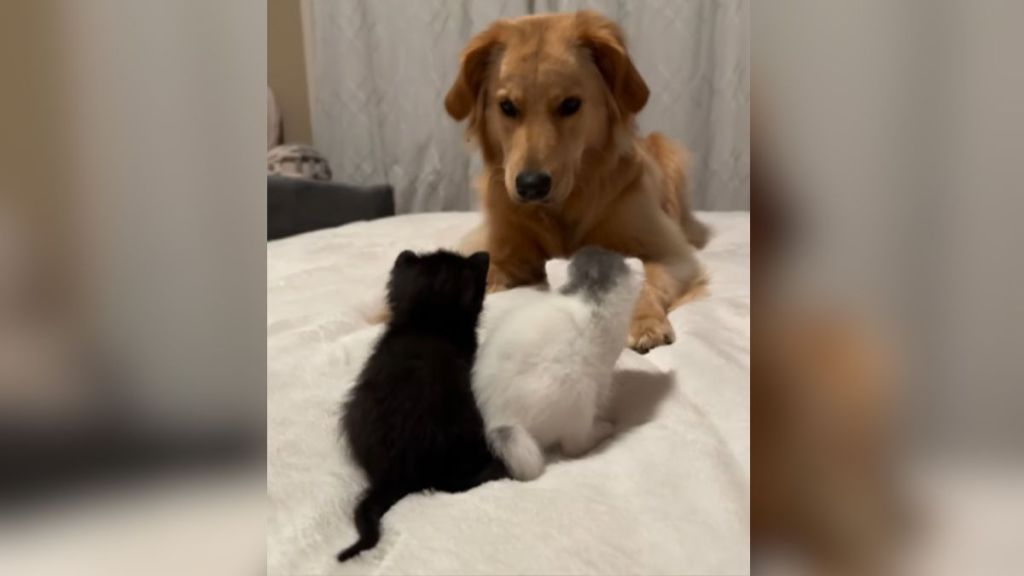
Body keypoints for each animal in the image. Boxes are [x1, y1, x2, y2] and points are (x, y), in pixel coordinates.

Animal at [471, 248, 638, 479]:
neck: (587, 294)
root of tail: (501, 420)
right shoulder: (603, 372)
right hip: (579, 394)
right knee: (574, 445)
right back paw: (604, 429)